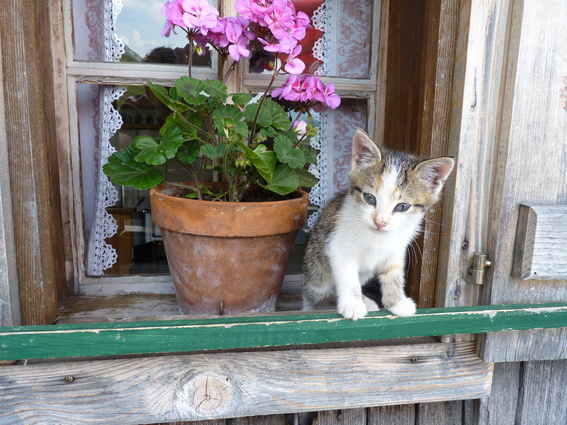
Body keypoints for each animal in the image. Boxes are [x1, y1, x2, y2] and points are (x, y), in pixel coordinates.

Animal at [304, 129, 454, 318]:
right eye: (369, 198)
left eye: (402, 206)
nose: (380, 222)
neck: (377, 237)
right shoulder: (337, 247)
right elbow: (348, 276)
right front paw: (353, 304)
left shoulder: (397, 248)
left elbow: (393, 273)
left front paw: (396, 301)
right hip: (318, 272)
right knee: (314, 292)